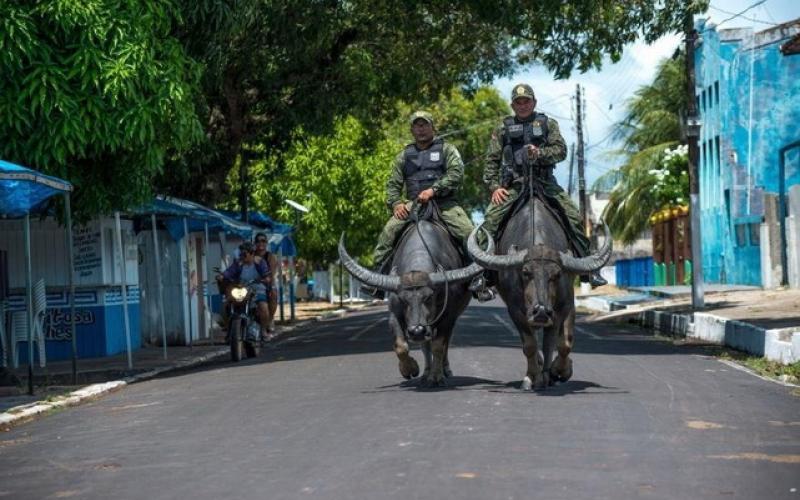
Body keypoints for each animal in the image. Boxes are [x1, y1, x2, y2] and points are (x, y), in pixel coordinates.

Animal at [336, 219, 490, 386]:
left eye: (429, 297)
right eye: (404, 299)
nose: (417, 331)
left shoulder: (448, 316)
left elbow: (438, 346)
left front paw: (437, 377)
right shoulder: (395, 314)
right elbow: (401, 346)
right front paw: (410, 370)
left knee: (444, 342)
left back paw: (444, 370)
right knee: (425, 345)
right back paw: (426, 372)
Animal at [466, 195, 608, 390]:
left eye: (557, 274)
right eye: (526, 272)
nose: (540, 311)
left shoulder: (565, 306)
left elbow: (562, 343)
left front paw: (557, 372)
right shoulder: (516, 310)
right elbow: (530, 345)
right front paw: (533, 377)